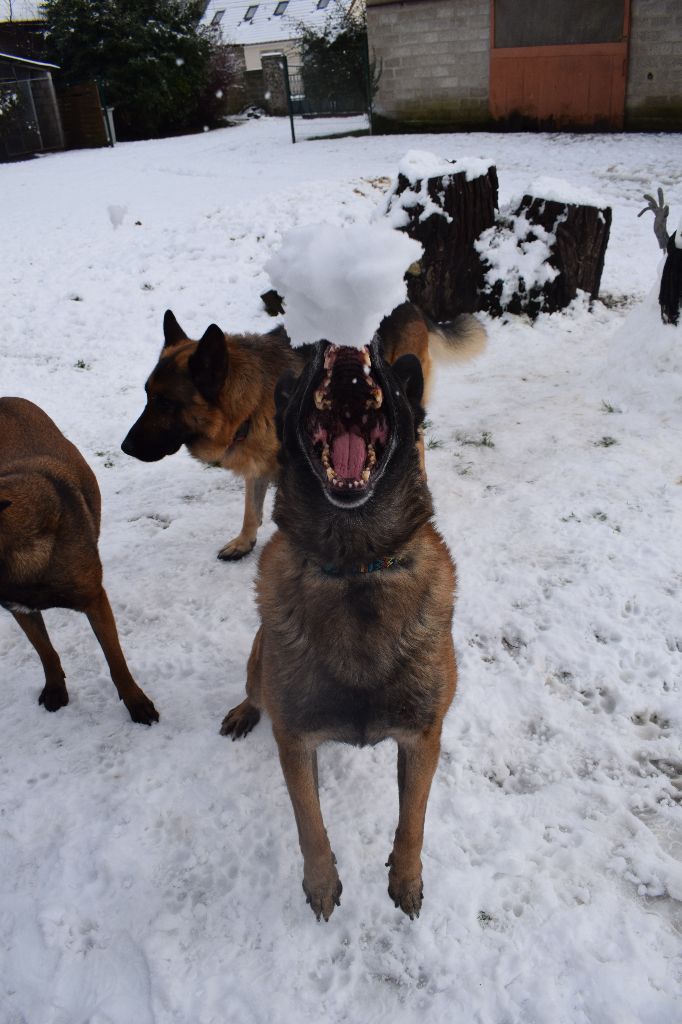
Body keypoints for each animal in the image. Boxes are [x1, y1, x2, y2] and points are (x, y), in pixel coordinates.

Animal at [1, 395, 157, 724]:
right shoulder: (20, 608)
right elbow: (45, 651)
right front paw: (55, 688)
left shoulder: (95, 600)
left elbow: (116, 661)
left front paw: (136, 702)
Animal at [122, 305, 483, 561]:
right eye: (147, 395)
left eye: (166, 403)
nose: (125, 447)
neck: (252, 401)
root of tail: (411, 305)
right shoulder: (259, 466)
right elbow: (251, 510)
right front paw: (244, 542)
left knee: (416, 439)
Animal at [223, 327, 462, 921]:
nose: (345, 332)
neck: (356, 565)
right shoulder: (294, 740)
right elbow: (309, 825)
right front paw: (321, 884)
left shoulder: (422, 738)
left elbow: (413, 821)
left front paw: (405, 880)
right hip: (258, 657)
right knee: (255, 691)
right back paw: (243, 711)